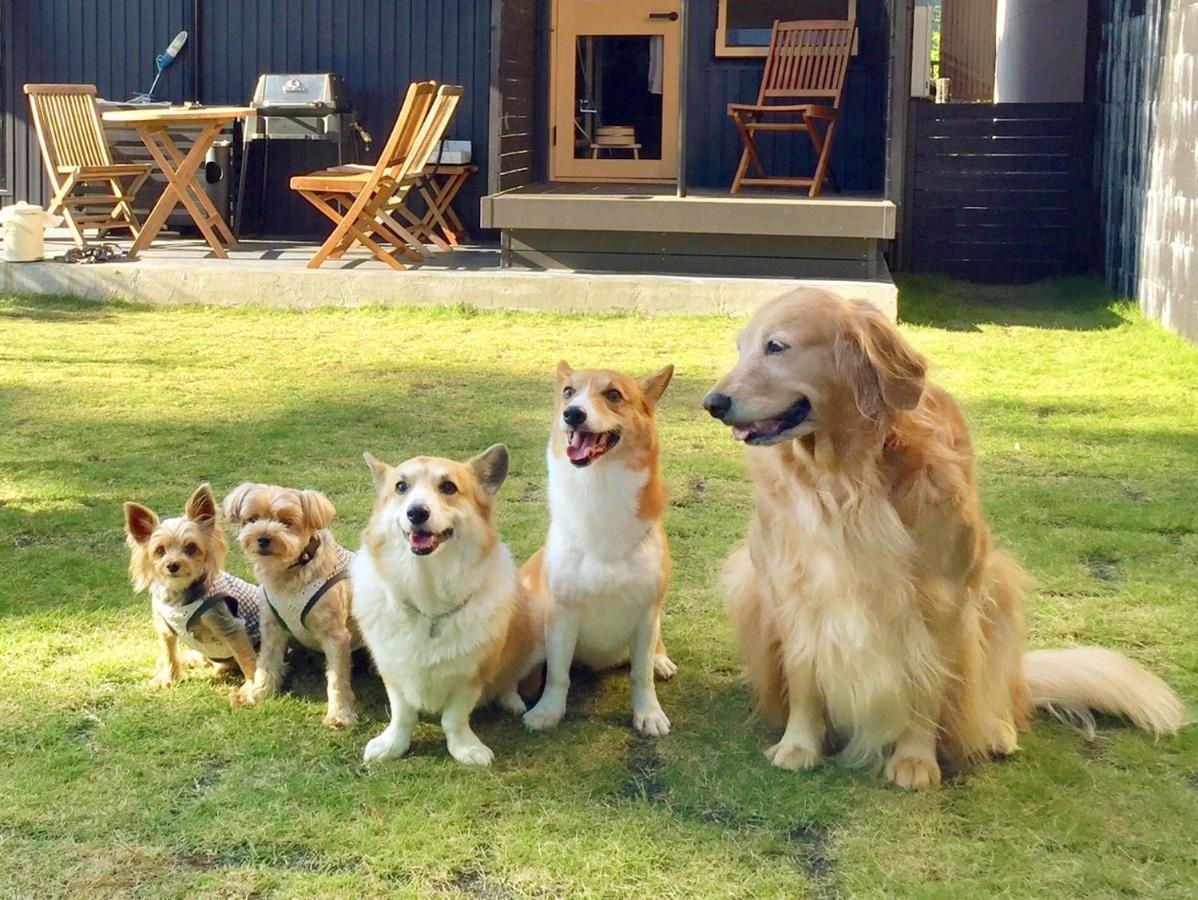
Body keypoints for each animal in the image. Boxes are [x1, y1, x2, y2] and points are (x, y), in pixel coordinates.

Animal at [221, 481, 359, 728]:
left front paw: (340, 714)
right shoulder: (272, 627)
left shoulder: (335, 635)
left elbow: (337, 679)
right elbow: (266, 663)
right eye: (252, 518)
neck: (291, 573)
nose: (263, 538)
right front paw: (258, 693)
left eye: (287, 521)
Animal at [352, 448, 546, 762]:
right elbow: (402, 714)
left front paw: (466, 750)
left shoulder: (471, 675)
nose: (416, 512)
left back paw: (511, 700)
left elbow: (453, 719)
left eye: (448, 487)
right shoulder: (393, 670)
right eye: (400, 487)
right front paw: (391, 745)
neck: (427, 593)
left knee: (511, 678)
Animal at [522, 361, 680, 733]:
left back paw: (661, 660)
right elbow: (558, 675)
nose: (572, 414)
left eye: (613, 395)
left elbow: (640, 674)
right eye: (568, 392)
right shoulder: (561, 614)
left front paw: (648, 714)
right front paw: (548, 711)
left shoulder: (646, 614)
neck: (599, 489)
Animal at [699, 290, 1178, 786]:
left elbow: (925, 685)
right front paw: (798, 746)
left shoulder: (943, 601)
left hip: (998, 586)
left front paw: (915, 760)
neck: (846, 479)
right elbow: (804, 679)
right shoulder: (793, 592)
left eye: (776, 346)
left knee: (998, 694)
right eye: (741, 348)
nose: (712, 403)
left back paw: (996, 730)